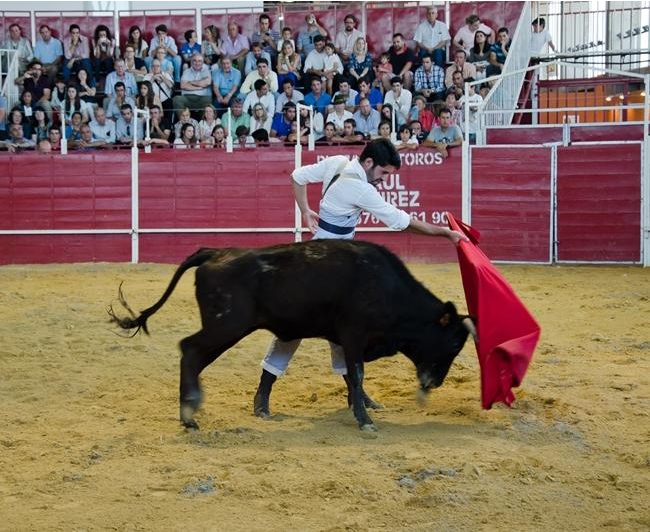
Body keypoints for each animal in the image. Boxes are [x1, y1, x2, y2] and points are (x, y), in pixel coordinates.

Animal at [110, 239, 476, 430]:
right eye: (453, 343)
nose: (434, 382)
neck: (389, 287)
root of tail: (215, 252)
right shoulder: (354, 335)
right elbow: (356, 373)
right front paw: (364, 419)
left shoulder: (346, 339)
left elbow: (351, 376)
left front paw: (361, 409)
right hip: (226, 326)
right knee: (190, 349)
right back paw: (189, 414)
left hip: (225, 328)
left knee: (194, 355)